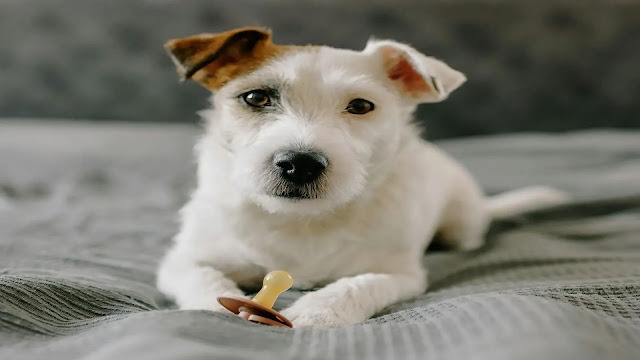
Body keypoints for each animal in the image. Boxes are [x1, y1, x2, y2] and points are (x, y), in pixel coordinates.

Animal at [158, 26, 568, 328]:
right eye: (256, 98)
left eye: (360, 106)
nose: (300, 163)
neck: (303, 221)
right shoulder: (183, 261)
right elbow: (204, 281)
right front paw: (219, 310)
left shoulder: (398, 274)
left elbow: (357, 285)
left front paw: (317, 312)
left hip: (461, 225)